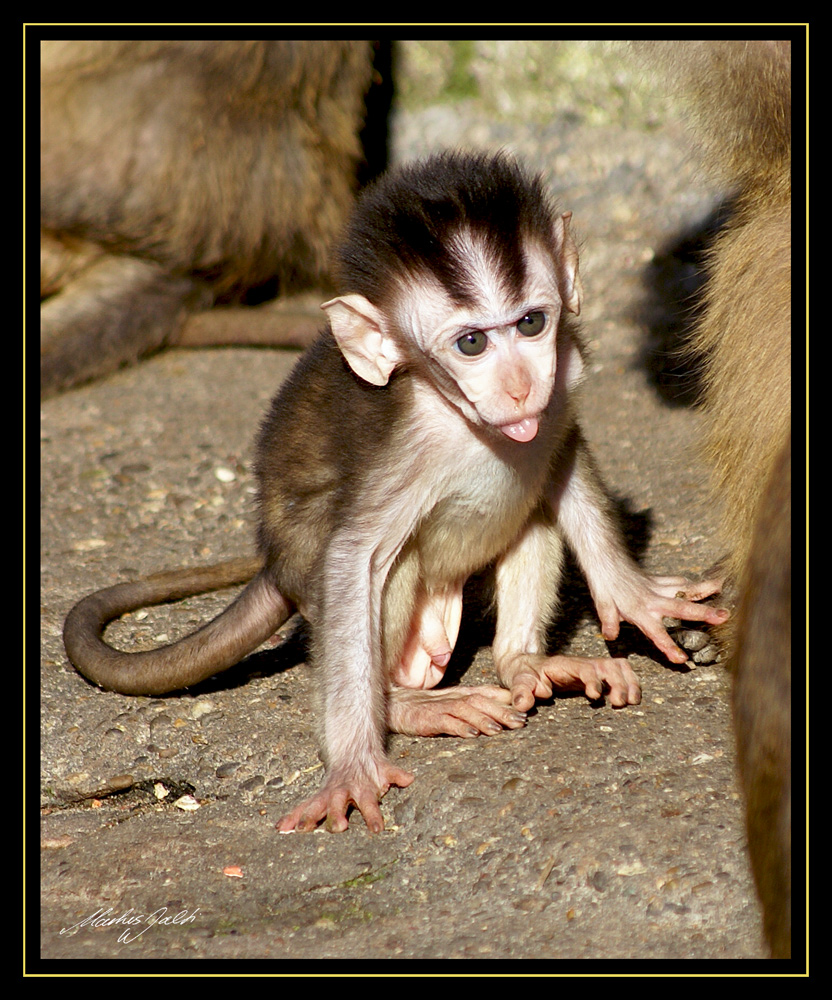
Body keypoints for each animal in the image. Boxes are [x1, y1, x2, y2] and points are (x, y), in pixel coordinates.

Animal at [63, 152, 720, 832]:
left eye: (531, 323)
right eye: (472, 343)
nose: (518, 387)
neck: (461, 419)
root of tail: (275, 561)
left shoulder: (563, 378)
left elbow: (561, 454)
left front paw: (635, 594)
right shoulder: (408, 446)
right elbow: (357, 555)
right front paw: (353, 766)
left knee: (531, 508)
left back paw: (526, 662)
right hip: (317, 569)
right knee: (386, 564)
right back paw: (406, 705)